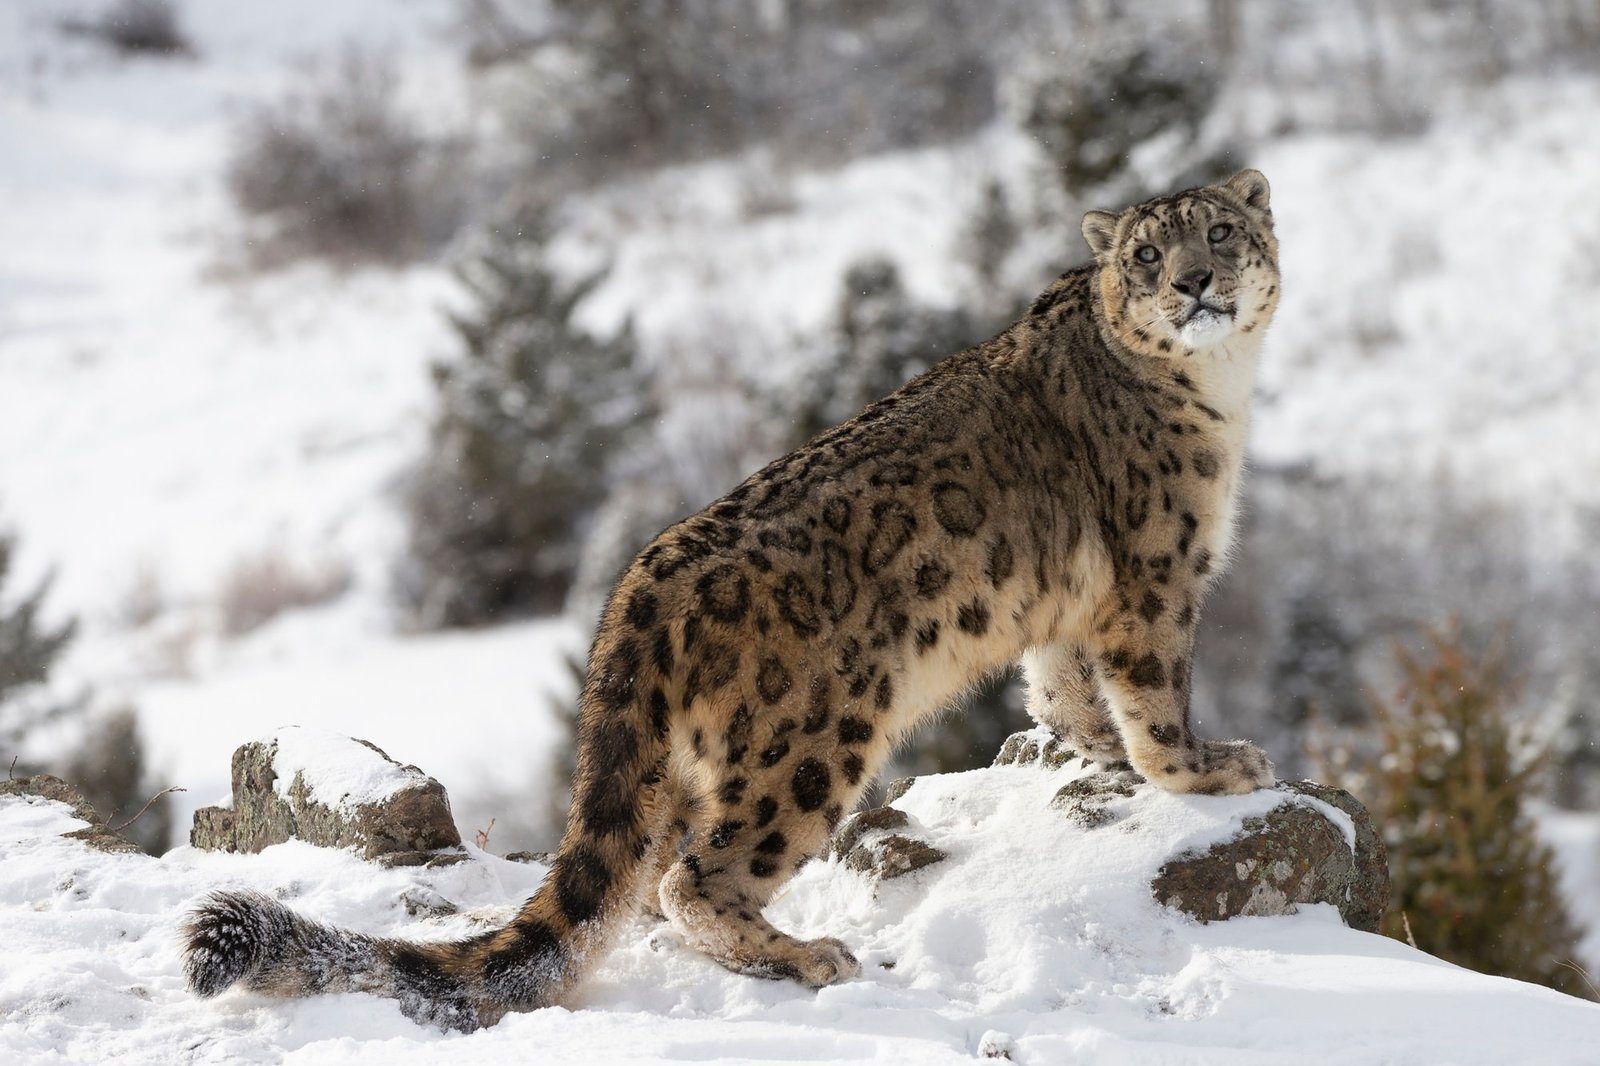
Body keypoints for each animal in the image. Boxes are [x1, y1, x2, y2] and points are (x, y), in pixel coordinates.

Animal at [182, 168, 1282, 1032]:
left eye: (1221, 231)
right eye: (1148, 253)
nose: (1194, 282)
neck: (1222, 395)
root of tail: (638, 585)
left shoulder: (1066, 608)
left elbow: (1061, 689)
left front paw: (1094, 752)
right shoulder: (1156, 575)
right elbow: (1153, 693)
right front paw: (1208, 768)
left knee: (644, 879)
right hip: (811, 740)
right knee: (694, 877)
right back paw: (807, 953)